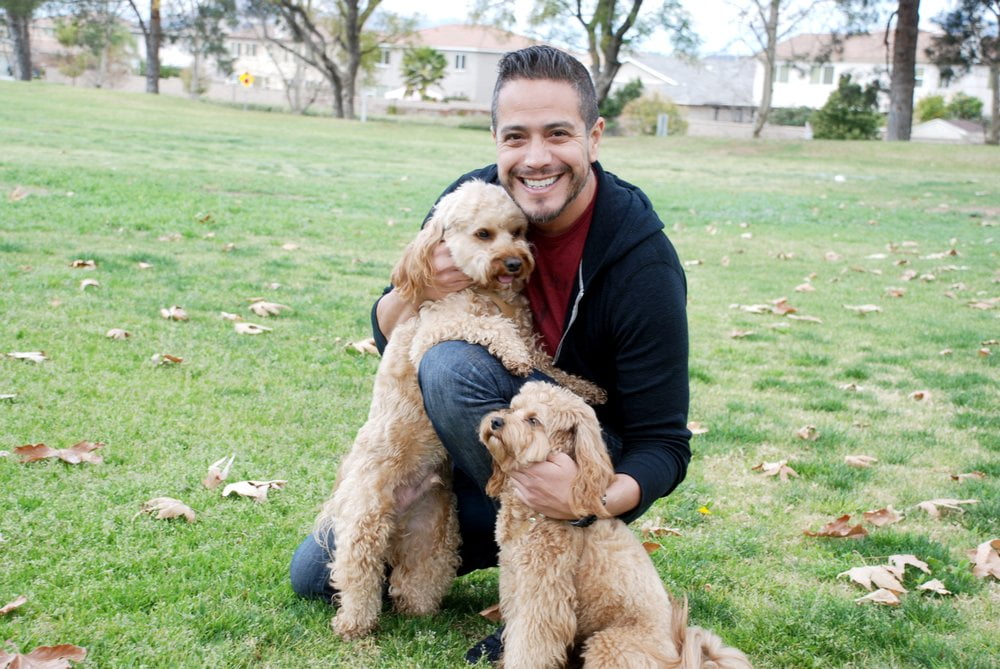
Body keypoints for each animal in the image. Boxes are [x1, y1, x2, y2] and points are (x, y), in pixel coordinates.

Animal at [478, 380, 752, 668]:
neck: (531, 514)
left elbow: (530, 642)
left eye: (533, 420)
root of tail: (675, 658)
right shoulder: (514, 578)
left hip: (608, 644)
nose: (495, 421)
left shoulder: (545, 593)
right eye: (512, 408)